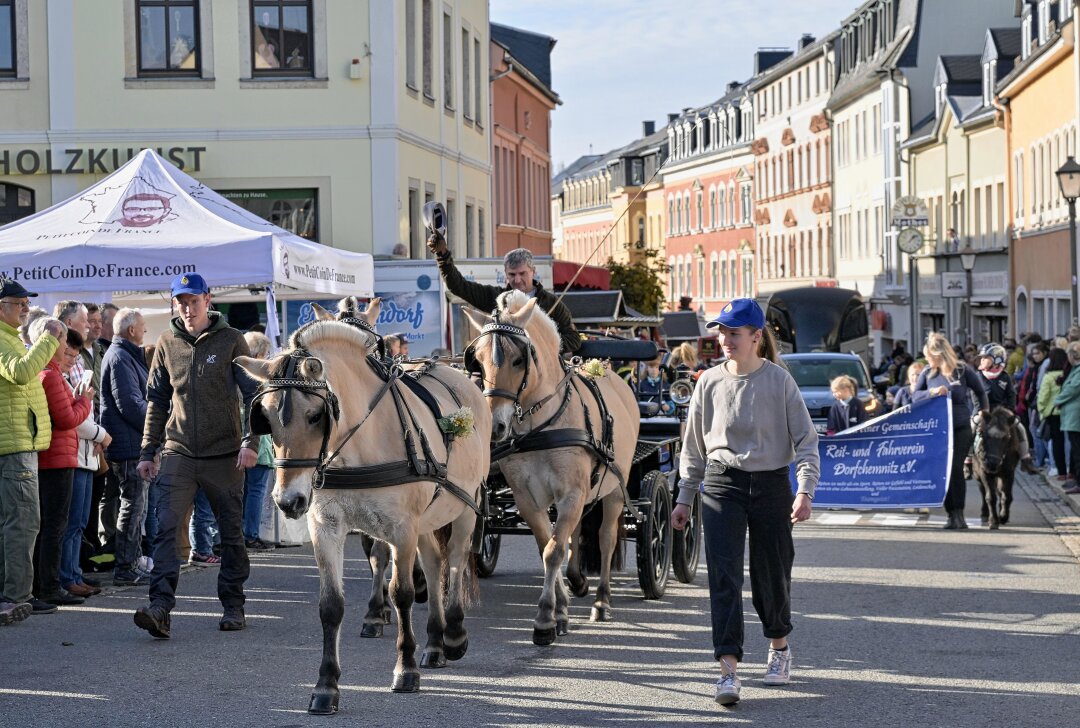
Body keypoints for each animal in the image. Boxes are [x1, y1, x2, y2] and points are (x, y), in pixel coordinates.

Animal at [237, 298, 494, 712]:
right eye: (268, 419)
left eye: (315, 415)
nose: (288, 501)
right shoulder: (326, 526)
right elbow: (331, 605)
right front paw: (326, 686)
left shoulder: (401, 528)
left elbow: (402, 592)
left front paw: (405, 669)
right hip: (428, 518)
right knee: (434, 564)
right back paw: (435, 642)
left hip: (465, 507)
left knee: (454, 561)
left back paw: (453, 635)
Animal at [464, 289, 639, 639]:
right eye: (479, 359)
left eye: (519, 359)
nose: (494, 427)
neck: (541, 426)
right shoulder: (528, 497)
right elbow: (549, 544)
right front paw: (559, 610)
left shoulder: (572, 492)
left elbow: (554, 550)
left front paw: (545, 617)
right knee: (575, 534)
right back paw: (577, 581)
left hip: (616, 488)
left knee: (606, 537)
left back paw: (602, 601)